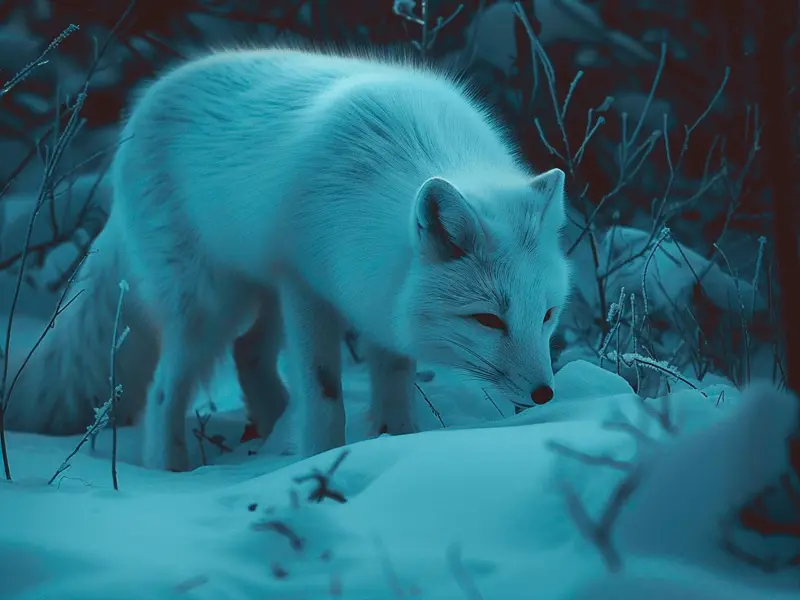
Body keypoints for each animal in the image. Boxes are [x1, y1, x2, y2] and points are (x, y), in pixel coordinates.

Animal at [6, 48, 572, 471]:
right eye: (488, 320)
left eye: (546, 315)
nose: (545, 394)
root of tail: (140, 111)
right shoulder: (307, 285)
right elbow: (324, 396)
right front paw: (319, 461)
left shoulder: (377, 296)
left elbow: (393, 383)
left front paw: (394, 441)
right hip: (210, 306)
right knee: (166, 392)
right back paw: (172, 470)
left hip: (261, 297)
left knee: (248, 355)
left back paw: (271, 432)